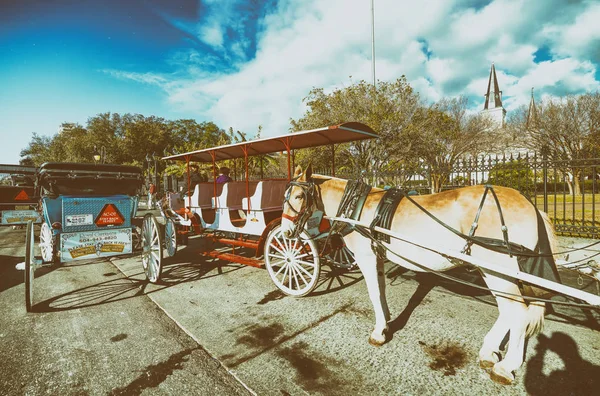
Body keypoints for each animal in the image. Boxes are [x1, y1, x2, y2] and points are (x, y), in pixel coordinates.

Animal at [280, 164, 556, 384]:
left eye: (299, 195)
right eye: (285, 196)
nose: (285, 233)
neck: (358, 208)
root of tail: (532, 206)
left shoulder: (366, 257)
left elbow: (373, 293)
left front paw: (378, 332)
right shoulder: (378, 256)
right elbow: (380, 290)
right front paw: (386, 322)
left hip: (496, 268)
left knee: (517, 311)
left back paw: (506, 366)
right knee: (510, 311)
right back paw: (490, 351)